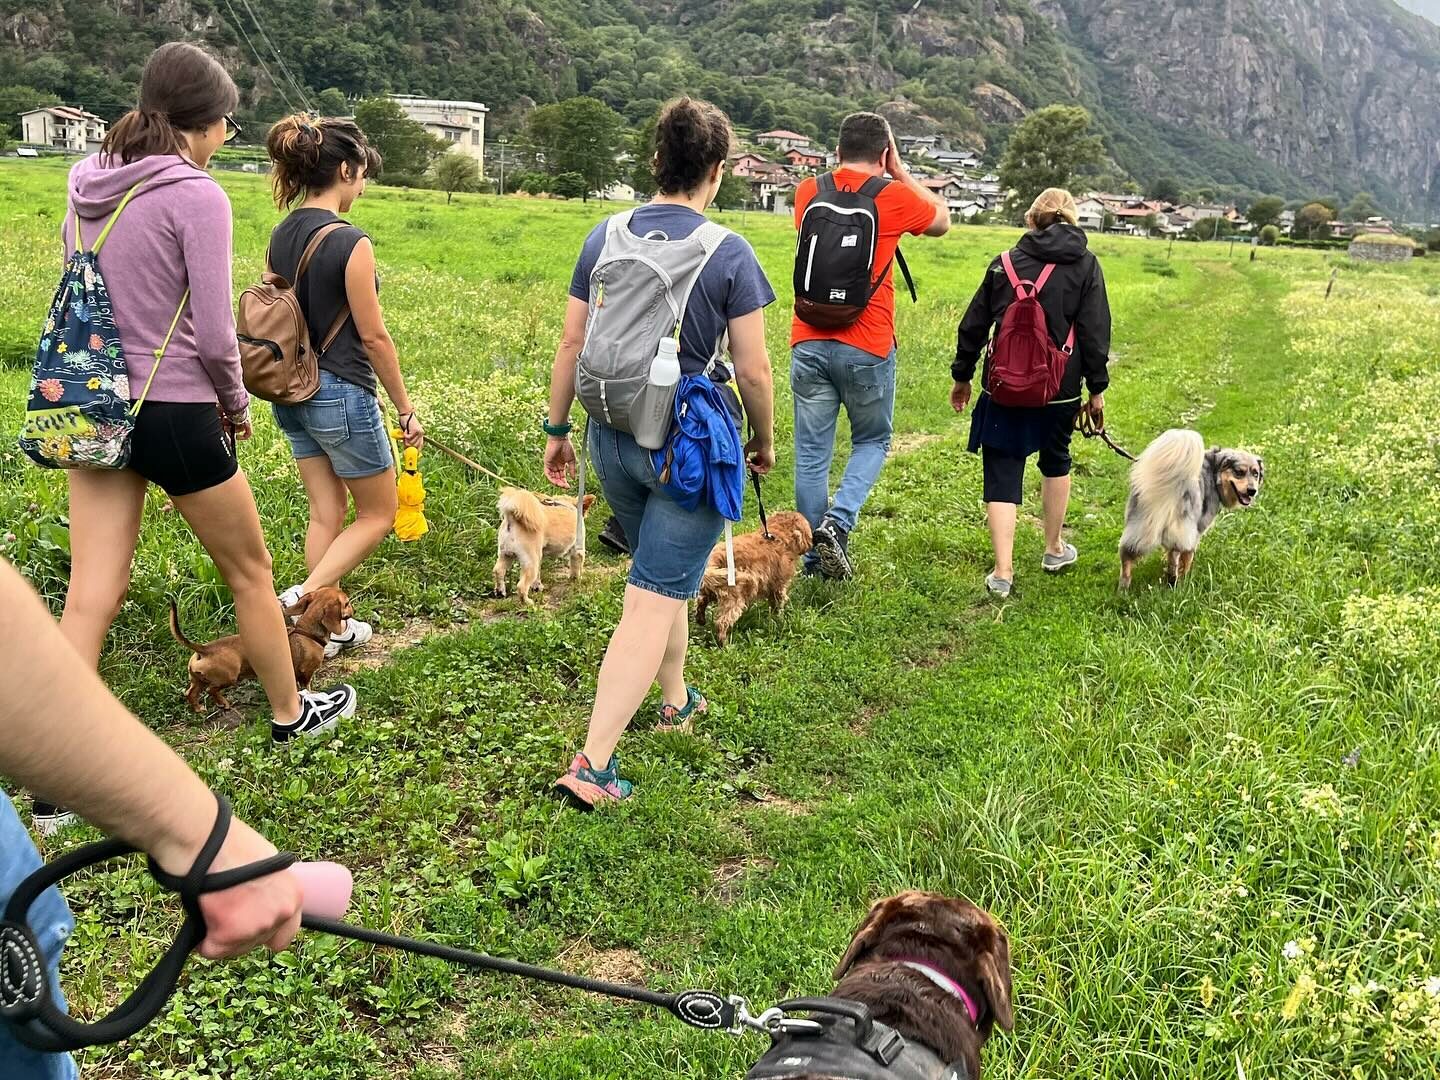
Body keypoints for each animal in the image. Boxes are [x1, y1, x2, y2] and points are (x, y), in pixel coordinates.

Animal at [164, 587, 351, 714]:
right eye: (347, 603)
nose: (353, 608)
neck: (307, 632)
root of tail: (205, 649)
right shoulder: (306, 672)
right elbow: (307, 685)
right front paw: (312, 694)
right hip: (228, 677)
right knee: (212, 690)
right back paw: (223, 703)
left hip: (197, 680)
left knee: (189, 693)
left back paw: (198, 708)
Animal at [694, 512, 812, 648]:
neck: (777, 536)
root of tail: (714, 557)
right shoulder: (778, 587)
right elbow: (778, 605)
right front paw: (779, 619)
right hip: (734, 597)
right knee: (722, 622)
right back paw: (725, 645)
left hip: (708, 587)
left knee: (701, 601)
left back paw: (701, 619)